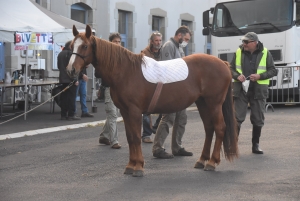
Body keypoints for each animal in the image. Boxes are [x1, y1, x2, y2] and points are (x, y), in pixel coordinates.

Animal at [67, 24, 238, 176]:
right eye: (71, 46)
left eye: (85, 46)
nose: (71, 70)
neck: (125, 71)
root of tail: (223, 63)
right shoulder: (125, 111)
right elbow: (130, 137)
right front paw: (130, 165)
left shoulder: (135, 111)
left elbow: (136, 137)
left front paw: (138, 167)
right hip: (203, 103)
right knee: (209, 128)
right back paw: (202, 160)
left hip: (214, 104)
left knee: (220, 128)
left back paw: (212, 162)